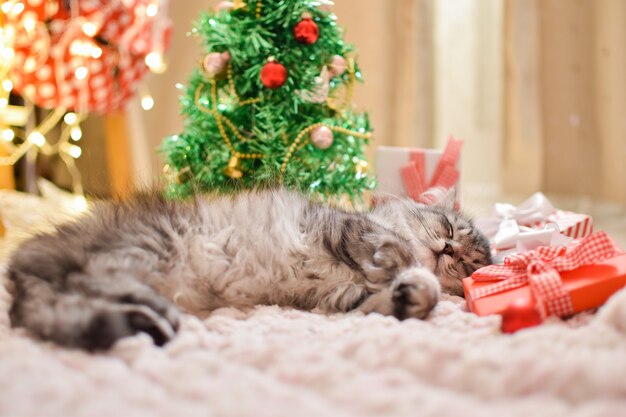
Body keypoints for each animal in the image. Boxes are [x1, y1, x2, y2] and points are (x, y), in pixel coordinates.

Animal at [7, 188, 490, 348]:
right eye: (449, 228)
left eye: (468, 265)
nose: (449, 251)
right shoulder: (341, 226)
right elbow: (392, 248)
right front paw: (402, 266)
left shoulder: (340, 300)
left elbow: (391, 299)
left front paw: (414, 294)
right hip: (147, 248)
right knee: (85, 284)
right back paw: (156, 317)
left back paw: (148, 320)